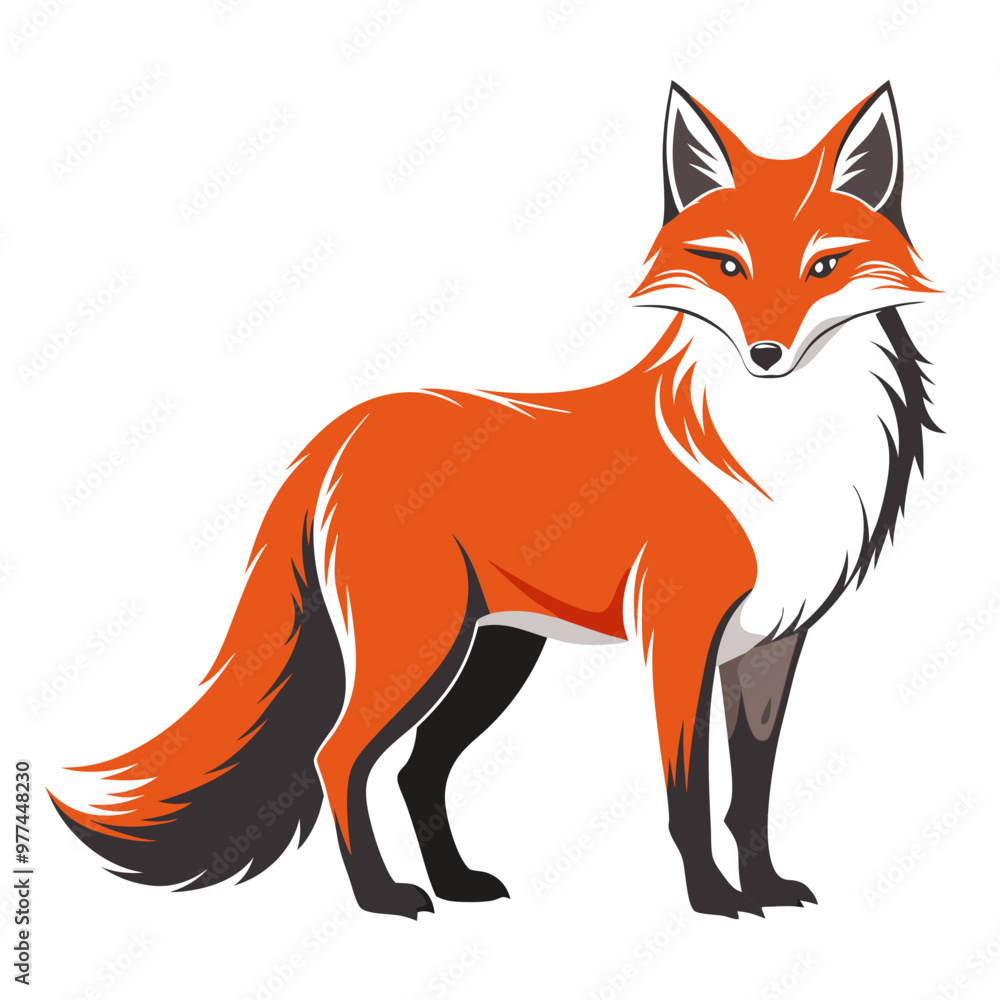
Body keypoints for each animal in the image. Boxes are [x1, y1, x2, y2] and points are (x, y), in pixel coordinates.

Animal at [51, 81, 939, 919]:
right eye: (728, 267)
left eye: (823, 268)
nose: (766, 353)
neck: (778, 456)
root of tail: (343, 429)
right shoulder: (677, 640)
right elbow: (690, 797)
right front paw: (715, 900)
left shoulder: (769, 647)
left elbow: (749, 795)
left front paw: (764, 888)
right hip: (421, 648)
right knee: (339, 758)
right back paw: (382, 897)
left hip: (492, 657)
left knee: (416, 770)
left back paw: (454, 884)